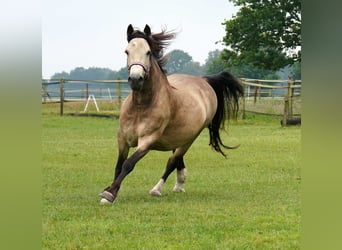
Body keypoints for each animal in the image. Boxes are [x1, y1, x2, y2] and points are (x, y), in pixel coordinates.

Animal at [98, 23, 243, 204]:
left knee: (172, 161)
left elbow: (128, 164)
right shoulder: (122, 139)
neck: (141, 106)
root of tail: (204, 81)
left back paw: (157, 189)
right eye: (126, 51)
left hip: (190, 138)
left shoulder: (147, 141)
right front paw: (111, 191)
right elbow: (118, 165)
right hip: (178, 136)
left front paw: (110, 193)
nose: (136, 79)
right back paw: (180, 183)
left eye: (148, 52)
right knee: (176, 158)